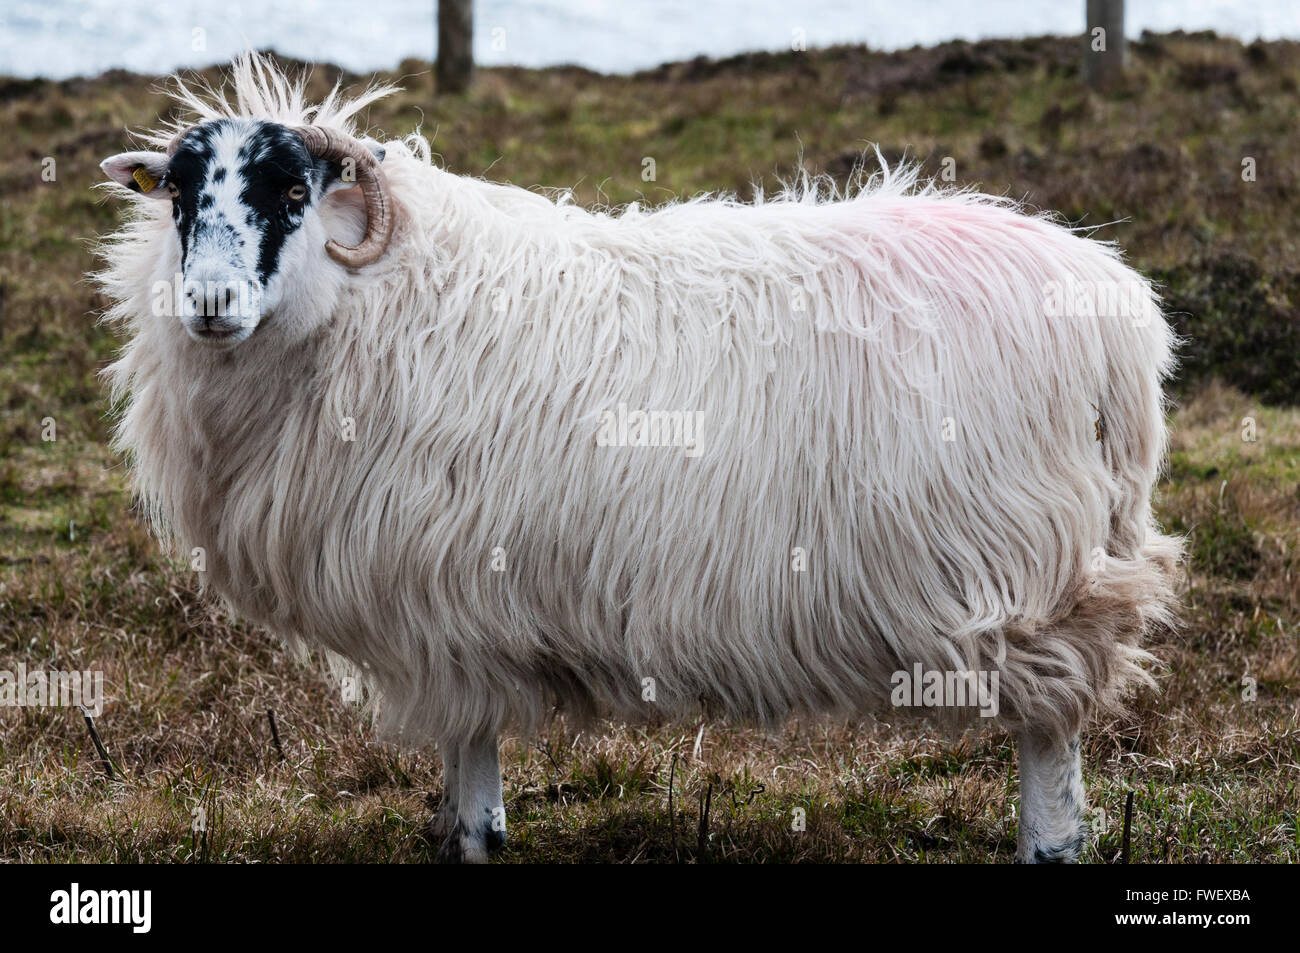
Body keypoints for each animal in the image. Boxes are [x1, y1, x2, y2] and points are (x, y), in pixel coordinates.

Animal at [96, 55, 1185, 868]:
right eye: (181, 195)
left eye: (290, 190)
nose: (209, 303)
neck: (369, 303)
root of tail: (1115, 307)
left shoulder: (443, 598)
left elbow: (470, 753)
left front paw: (475, 835)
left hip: (1031, 572)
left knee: (1052, 727)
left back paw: (1048, 841)